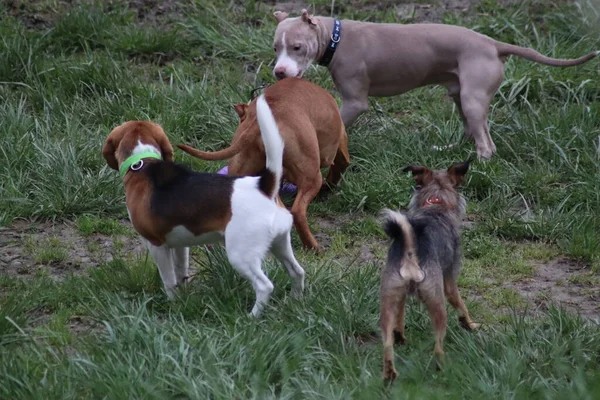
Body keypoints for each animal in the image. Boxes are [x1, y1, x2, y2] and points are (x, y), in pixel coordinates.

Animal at [176, 78, 350, 252]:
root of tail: (256, 123)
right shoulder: (340, 140)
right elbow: (341, 164)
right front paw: (329, 187)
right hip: (311, 177)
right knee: (297, 212)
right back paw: (313, 247)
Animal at [274, 9, 600, 159]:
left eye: (298, 48)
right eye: (275, 47)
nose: (279, 72)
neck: (335, 38)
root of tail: (493, 44)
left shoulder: (355, 103)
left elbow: (339, 123)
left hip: (472, 98)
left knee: (486, 143)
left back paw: (477, 163)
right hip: (460, 95)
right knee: (470, 131)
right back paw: (446, 149)